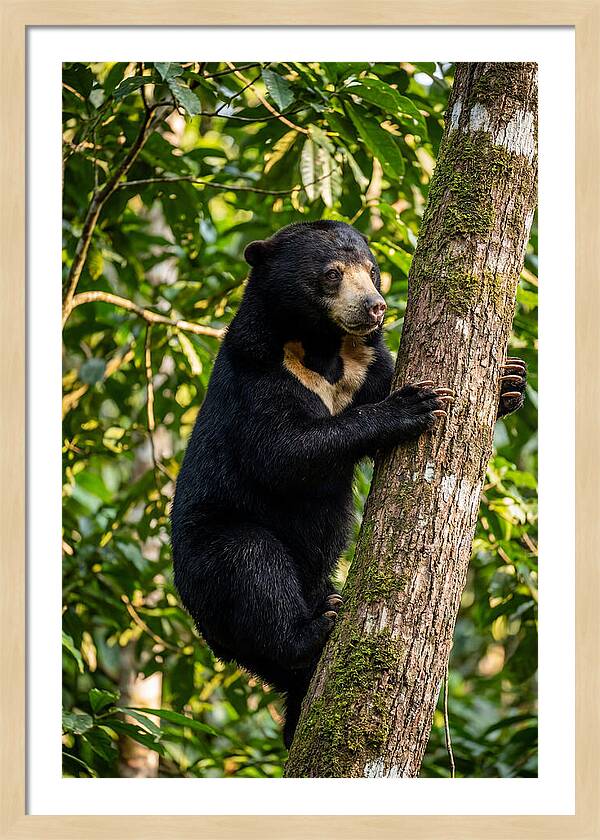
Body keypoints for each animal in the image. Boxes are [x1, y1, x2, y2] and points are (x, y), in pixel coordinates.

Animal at [170, 220, 526, 748]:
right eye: (332, 274)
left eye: (373, 271)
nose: (376, 306)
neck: (322, 348)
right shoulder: (258, 372)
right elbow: (280, 453)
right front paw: (414, 405)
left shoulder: (366, 364)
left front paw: (509, 381)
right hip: (208, 555)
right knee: (250, 563)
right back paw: (317, 627)